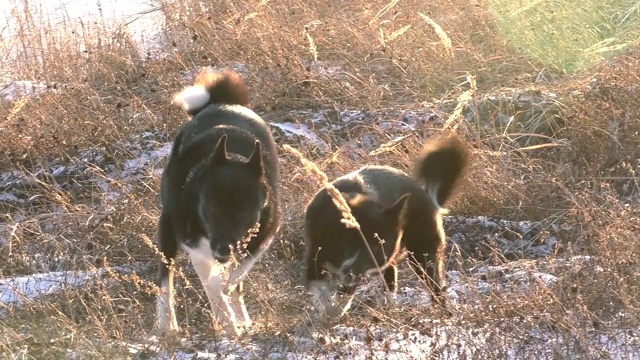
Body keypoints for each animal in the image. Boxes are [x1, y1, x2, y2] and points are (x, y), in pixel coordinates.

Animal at [156, 69, 278, 334]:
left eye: (245, 212)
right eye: (211, 208)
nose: (222, 250)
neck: (233, 157)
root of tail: (220, 103)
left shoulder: (261, 238)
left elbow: (235, 278)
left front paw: (235, 316)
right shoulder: (194, 244)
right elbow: (213, 287)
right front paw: (228, 324)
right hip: (167, 226)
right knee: (165, 278)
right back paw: (166, 324)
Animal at [302, 136, 468, 318]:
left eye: (375, 246)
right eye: (350, 240)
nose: (349, 271)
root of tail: (429, 198)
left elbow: (341, 296)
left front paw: (334, 311)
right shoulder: (315, 257)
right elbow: (318, 291)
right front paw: (324, 313)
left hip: (421, 254)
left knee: (433, 285)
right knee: (391, 281)